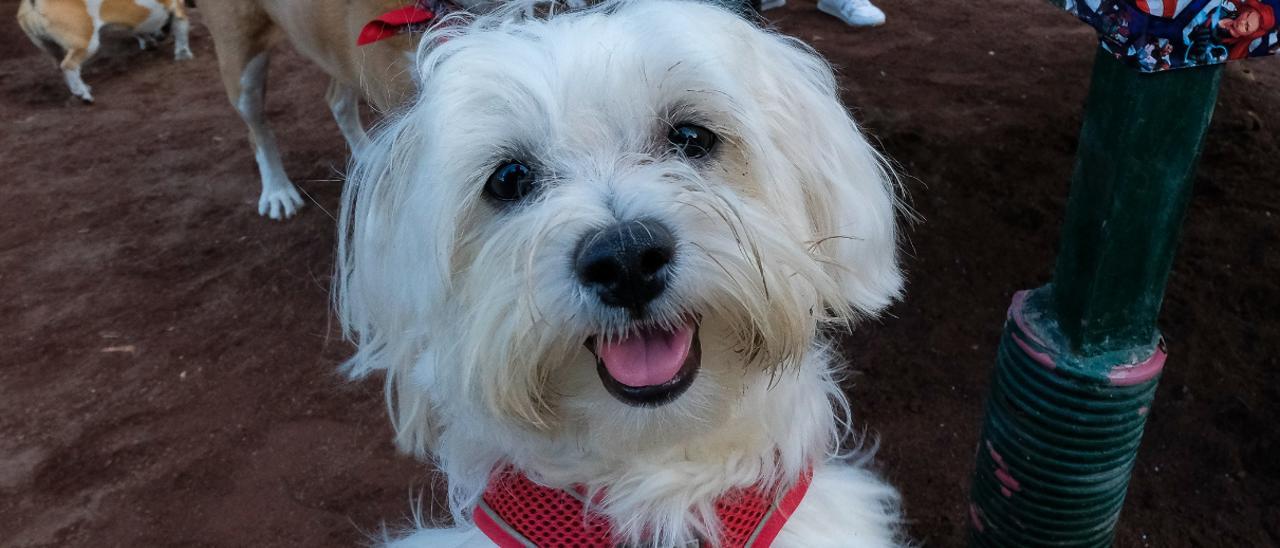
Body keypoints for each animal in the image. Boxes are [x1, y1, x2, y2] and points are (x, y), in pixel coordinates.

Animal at [17, 0, 193, 102]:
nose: (161, 37)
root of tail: (35, 3)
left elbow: (138, 32)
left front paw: (148, 42)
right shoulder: (178, 11)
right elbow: (182, 34)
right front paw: (184, 56)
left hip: (53, 49)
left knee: (62, 67)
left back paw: (80, 88)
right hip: (87, 43)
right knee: (69, 66)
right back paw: (82, 93)